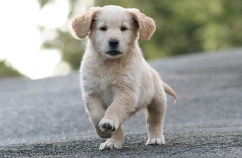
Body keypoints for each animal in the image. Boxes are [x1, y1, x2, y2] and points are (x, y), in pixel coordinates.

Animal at [71, 4, 176, 151]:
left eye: (123, 28)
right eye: (103, 28)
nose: (113, 42)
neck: (109, 64)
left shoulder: (126, 91)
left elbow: (115, 108)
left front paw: (108, 122)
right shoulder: (91, 93)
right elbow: (96, 115)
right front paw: (104, 131)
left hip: (158, 101)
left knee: (154, 121)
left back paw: (155, 138)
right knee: (119, 126)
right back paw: (112, 142)